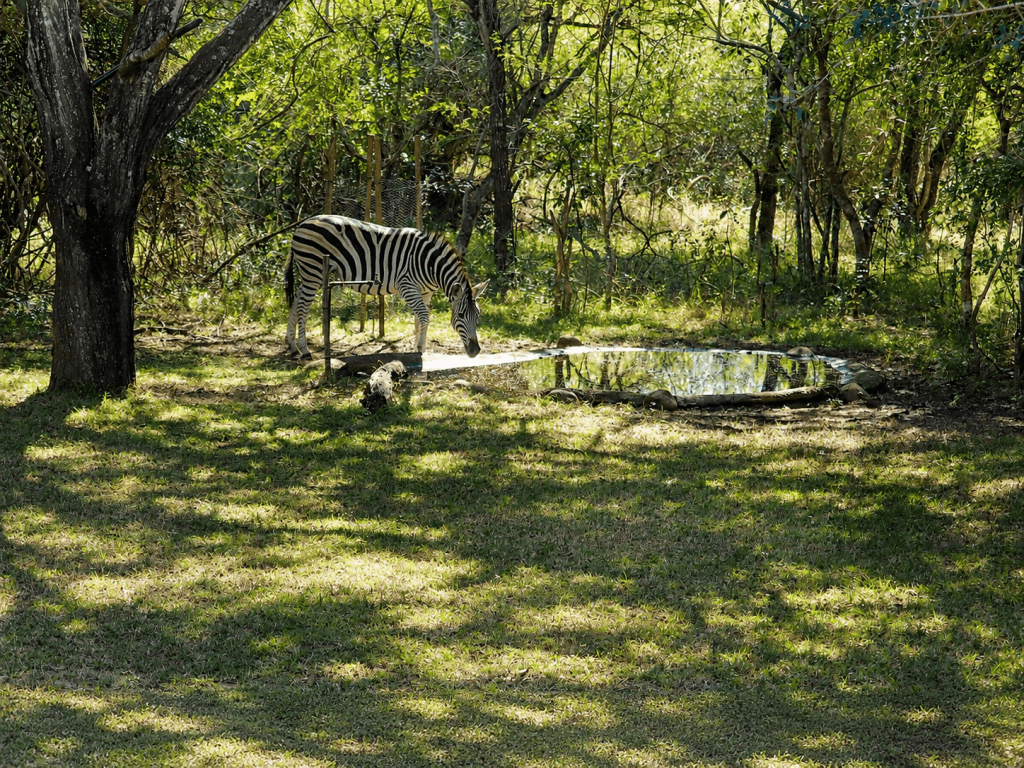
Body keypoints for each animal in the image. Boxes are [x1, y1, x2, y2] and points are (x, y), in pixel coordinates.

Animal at [285, 215, 488, 359]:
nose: (475, 351)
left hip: (312, 275)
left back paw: (292, 346)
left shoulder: (425, 292)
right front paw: (420, 348)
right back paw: (304, 350)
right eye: (460, 315)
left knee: (295, 302)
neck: (430, 265)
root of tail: (302, 224)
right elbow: (424, 316)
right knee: (303, 306)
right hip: (313, 271)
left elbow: (419, 319)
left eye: (478, 315)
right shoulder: (407, 287)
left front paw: (418, 347)